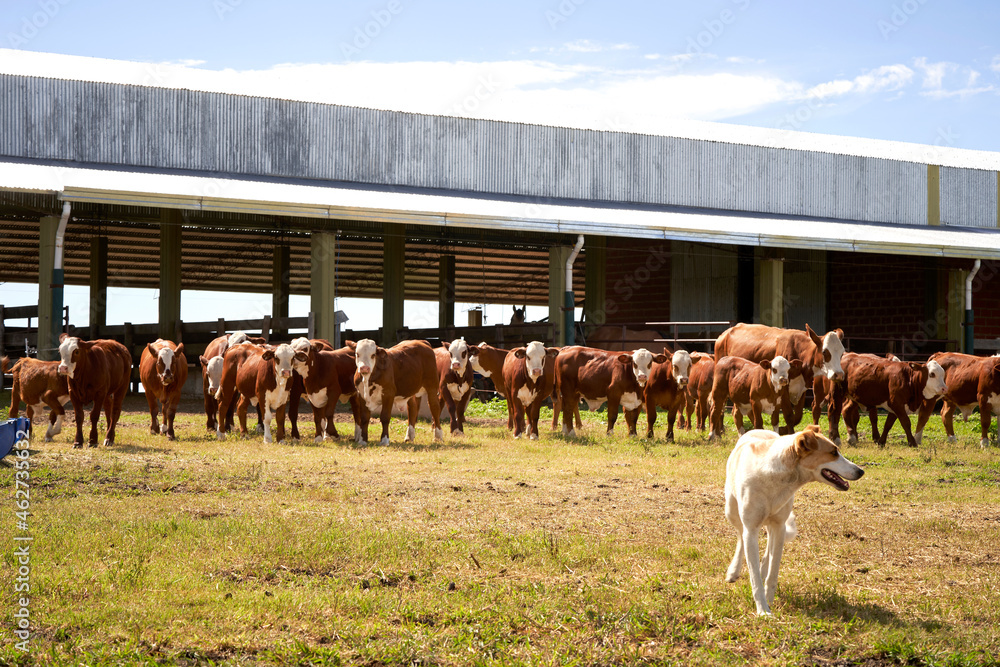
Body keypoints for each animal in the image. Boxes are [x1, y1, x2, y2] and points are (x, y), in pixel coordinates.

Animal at [714, 323, 846, 432]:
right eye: (824, 352)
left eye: (842, 353)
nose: (838, 374)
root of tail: (723, 335)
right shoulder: (784, 391)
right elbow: (789, 415)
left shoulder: (802, 389)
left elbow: (797, 416)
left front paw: (783, 429)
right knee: (720, 406)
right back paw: (719, 430)